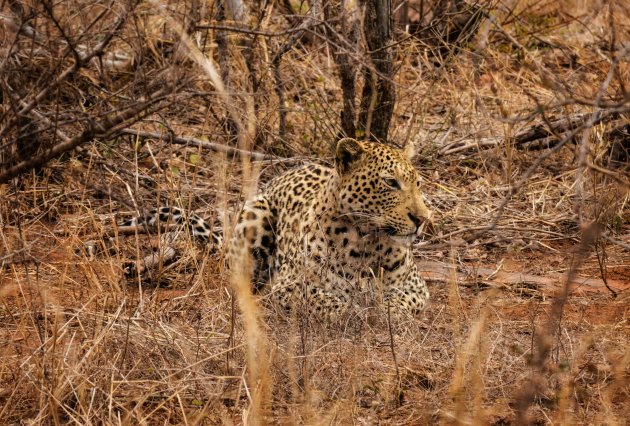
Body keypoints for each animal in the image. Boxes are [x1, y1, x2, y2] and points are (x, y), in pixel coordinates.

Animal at [113, 138, 432, 318]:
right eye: (391, 183)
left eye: (417, 182)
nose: (422, 218)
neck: (366, 241)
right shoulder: (288, 286)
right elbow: (329, 302)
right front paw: (357, 312)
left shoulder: (416, 288)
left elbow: (398, 302)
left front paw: (383, 311)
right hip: (255, 214)